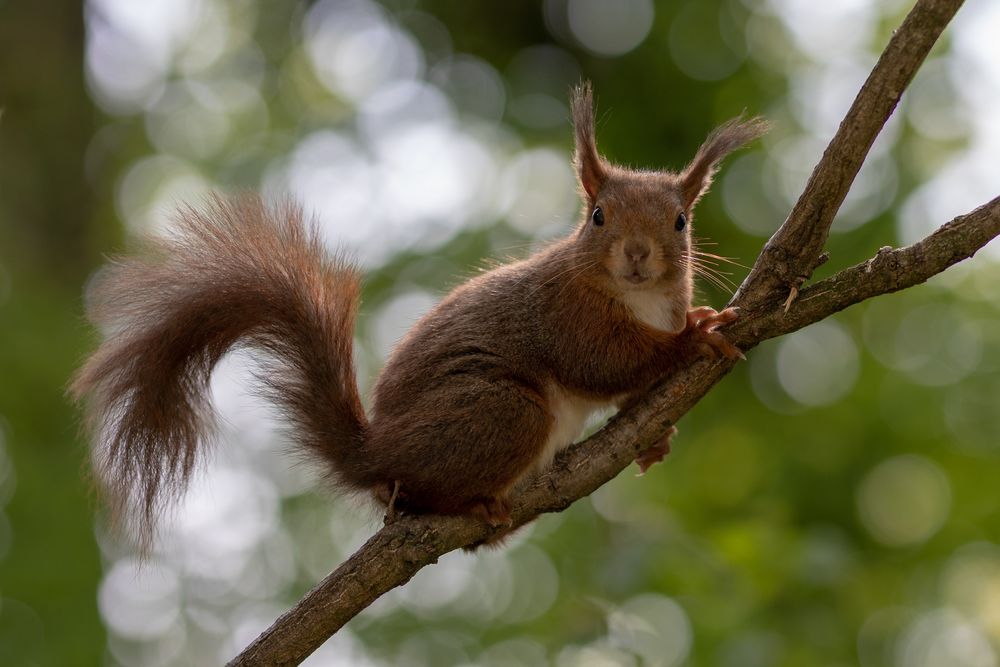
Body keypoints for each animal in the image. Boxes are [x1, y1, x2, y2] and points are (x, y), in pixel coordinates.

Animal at [72, 83, 765, 546]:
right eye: (597, 217)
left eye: (681, 221)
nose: (639, 253)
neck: (639, 299)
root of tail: (378, 456)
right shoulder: (563, 314)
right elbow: (602, 362)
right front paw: (695, 337)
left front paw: (657, 435)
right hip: (499, 413)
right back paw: (474, 504)